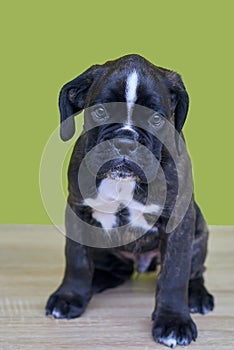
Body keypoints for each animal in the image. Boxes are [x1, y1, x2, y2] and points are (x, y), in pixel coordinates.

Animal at [45, 54, 214, 348]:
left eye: (156, 119)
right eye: (100, 113)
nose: (125, 141)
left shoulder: (179, 222)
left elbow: (174, 273)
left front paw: (173, 320)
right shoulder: (77, 210)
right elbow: (76, 259)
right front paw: (70, 297)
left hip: (199, 234)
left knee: (195, 271)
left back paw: (198, 295)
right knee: (113, 269)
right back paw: (95, 282)